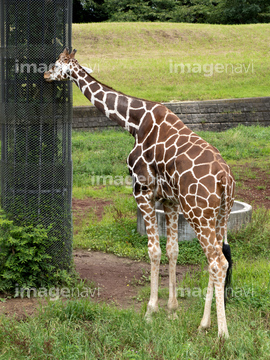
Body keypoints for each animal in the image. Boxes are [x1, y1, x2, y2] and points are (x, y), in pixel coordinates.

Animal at [43, 47, 234, 338]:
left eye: (56, 63)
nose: (44, 75)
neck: (134, 123)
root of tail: (225, 178)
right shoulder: (169, 200)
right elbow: (173, 250)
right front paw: (172, 310)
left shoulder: (142, 191)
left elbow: (154, 251)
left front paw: (150, 311)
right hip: (221, 213)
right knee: (218, 257)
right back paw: (204, 324)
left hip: (198, 213)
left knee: (217, 262)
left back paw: (222, 334)